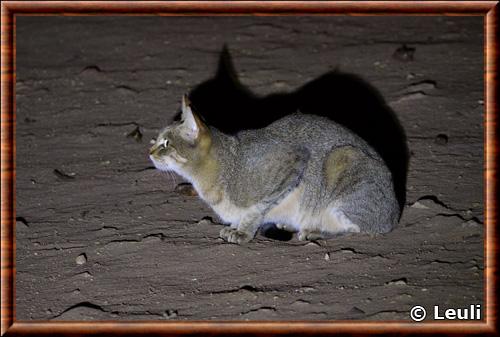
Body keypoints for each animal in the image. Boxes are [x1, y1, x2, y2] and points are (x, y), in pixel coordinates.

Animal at [148, 96, 398, 243]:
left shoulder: (293, 162)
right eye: (157, 140)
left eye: (166, 144)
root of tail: (394, 214)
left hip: (343, 159)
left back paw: (315, 230)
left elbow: (256, 209)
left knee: (357, 229)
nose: (149, 152)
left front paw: (243, 231)